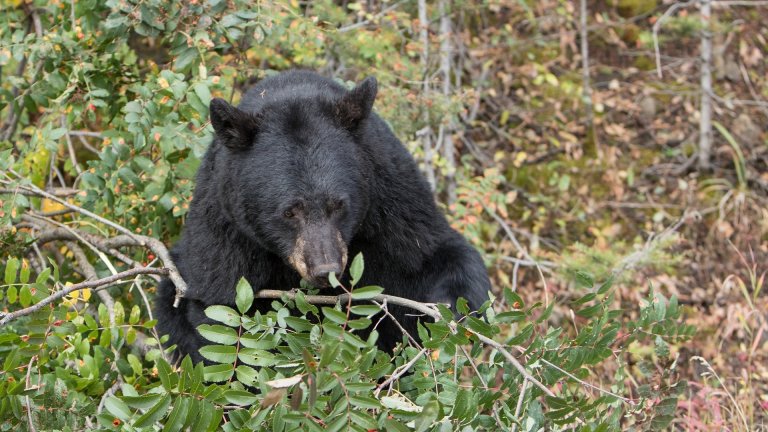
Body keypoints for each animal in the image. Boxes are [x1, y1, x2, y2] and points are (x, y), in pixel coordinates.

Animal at [154, 70, 490, 364]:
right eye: (289, 211)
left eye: (339, 205)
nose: (325, 269)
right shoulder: (226, 230)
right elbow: (221, 308)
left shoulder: (393, 199)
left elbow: (434, 255)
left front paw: (448, 310)